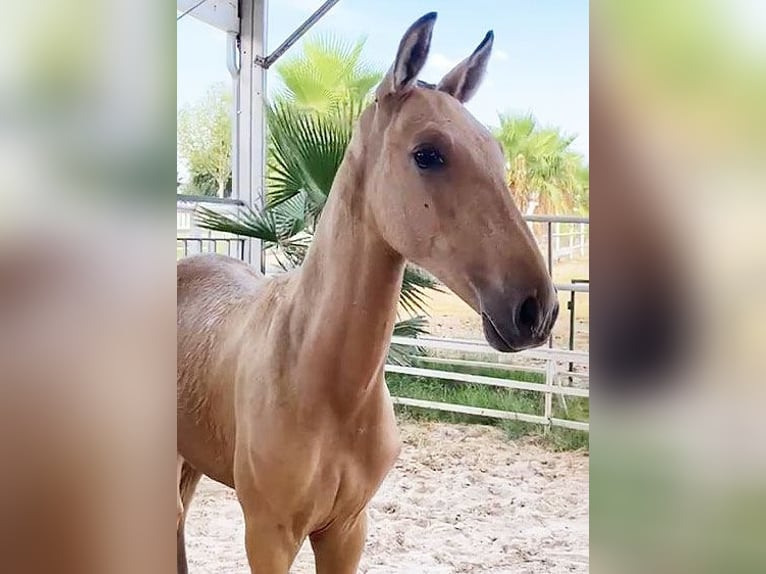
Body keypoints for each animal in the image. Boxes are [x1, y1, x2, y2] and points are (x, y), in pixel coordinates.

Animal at [178, 13, 560, 574]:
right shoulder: (268, 535)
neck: (324, 385)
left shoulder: (347, 530)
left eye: (496, 151)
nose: (537, 310)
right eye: (428, 154)